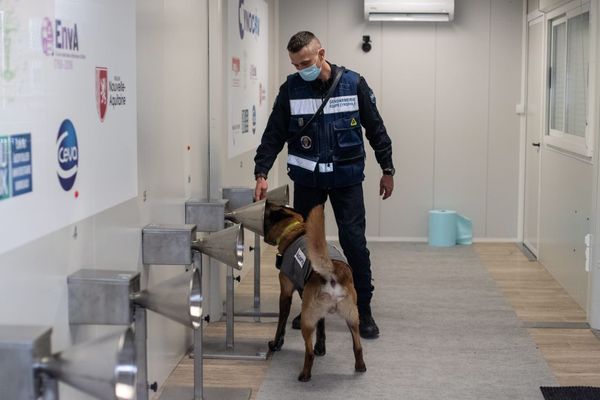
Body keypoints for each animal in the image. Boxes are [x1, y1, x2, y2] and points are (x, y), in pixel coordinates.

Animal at [266, 203, 368, 382]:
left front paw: (276, 344)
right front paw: (321, 348)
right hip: (352, 319)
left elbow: (281, 325)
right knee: (358, 346)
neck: (295, 229)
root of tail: (331, 272)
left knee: (309, 353)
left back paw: (305, 375)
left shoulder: (285, 294)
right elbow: (322, 328)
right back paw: (360, 366)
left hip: (307, 321)